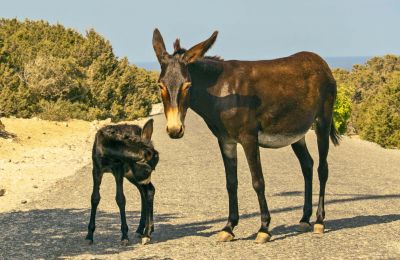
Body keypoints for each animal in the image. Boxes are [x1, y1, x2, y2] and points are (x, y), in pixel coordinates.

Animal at [153, 29, 340, 243]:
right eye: (160, 86)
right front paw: (229, 227)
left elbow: (258, 181)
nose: (174, 130)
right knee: (307, 165)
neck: (221, 92)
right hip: (296, 132)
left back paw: (319, 221)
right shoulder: (226, 141)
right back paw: (304, 219)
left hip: (323, 121)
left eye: (187, 86)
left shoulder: (249, 138)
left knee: (322, 169)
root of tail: (320, 61)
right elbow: (231, 183)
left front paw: (264, 228)